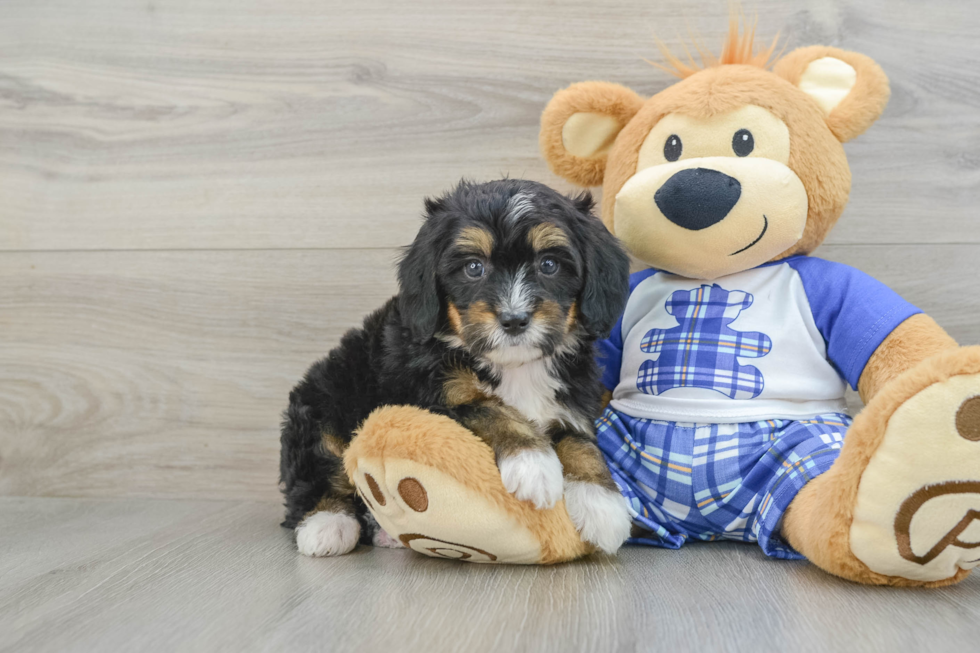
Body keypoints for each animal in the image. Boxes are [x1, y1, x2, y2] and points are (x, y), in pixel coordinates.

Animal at [280, 178, 632, 556]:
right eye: (474, 267)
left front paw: (602, 503)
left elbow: (580, 442)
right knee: (318, 468)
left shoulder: (573, 401)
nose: (514, 320)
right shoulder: (431, 398)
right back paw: (327, 524)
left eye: (549, 265)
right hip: (324, 399)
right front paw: (533, 464)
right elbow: (491, 408)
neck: (515, 367)